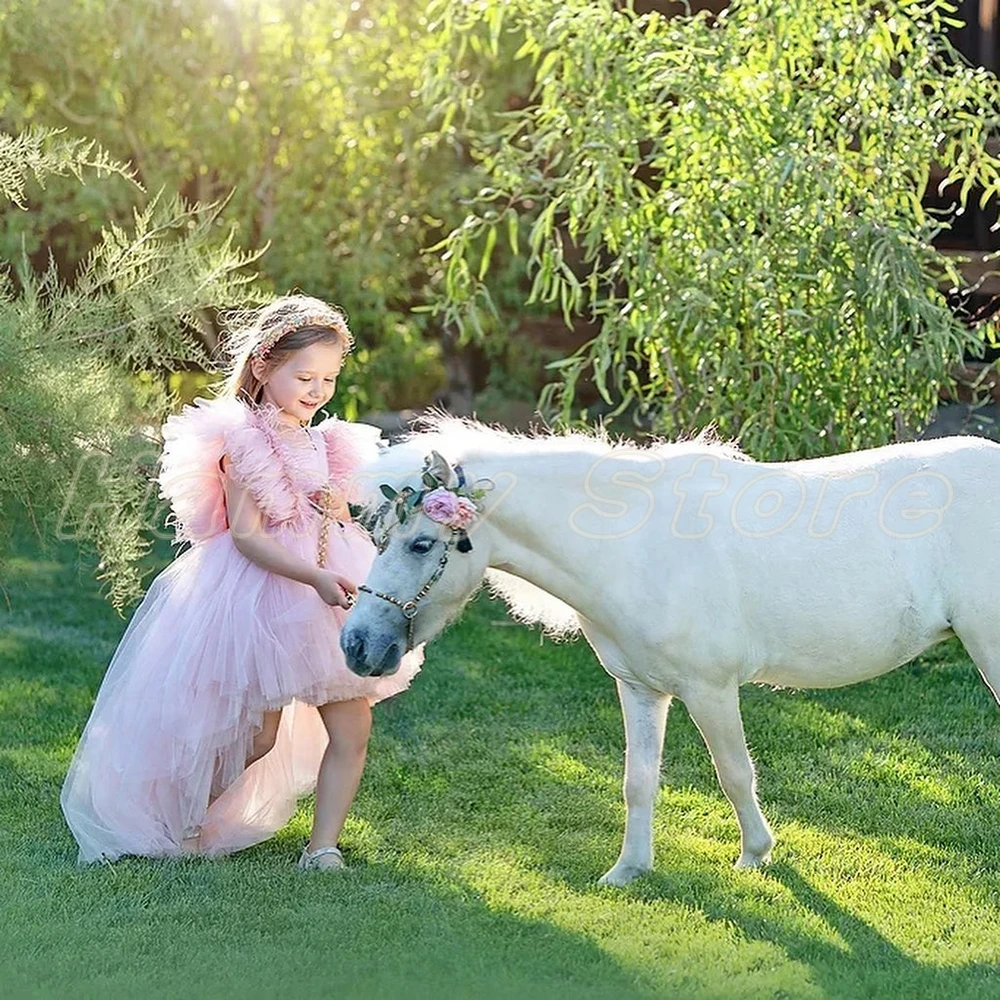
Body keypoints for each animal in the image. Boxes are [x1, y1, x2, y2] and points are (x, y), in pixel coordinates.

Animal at [340, 418, 996, 888]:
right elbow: (639, 780)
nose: (357, 645)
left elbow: (734, 772)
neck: (634, 547)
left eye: (421, 544)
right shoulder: (639, 688)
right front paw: (629, 870)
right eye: (378, 537)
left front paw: (755, 854)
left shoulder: (710, 689)